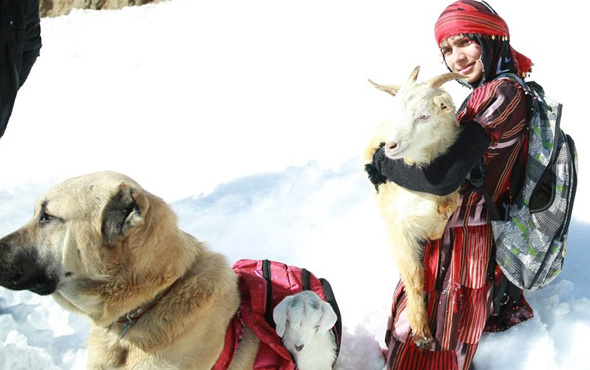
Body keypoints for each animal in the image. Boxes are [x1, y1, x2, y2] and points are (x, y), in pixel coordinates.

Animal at [366, 66, 468, 350]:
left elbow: (447, 208)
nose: (390, 146)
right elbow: (413, 276)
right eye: (396, 112)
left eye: (424, 115)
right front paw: (421, 333)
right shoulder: (399, 228)